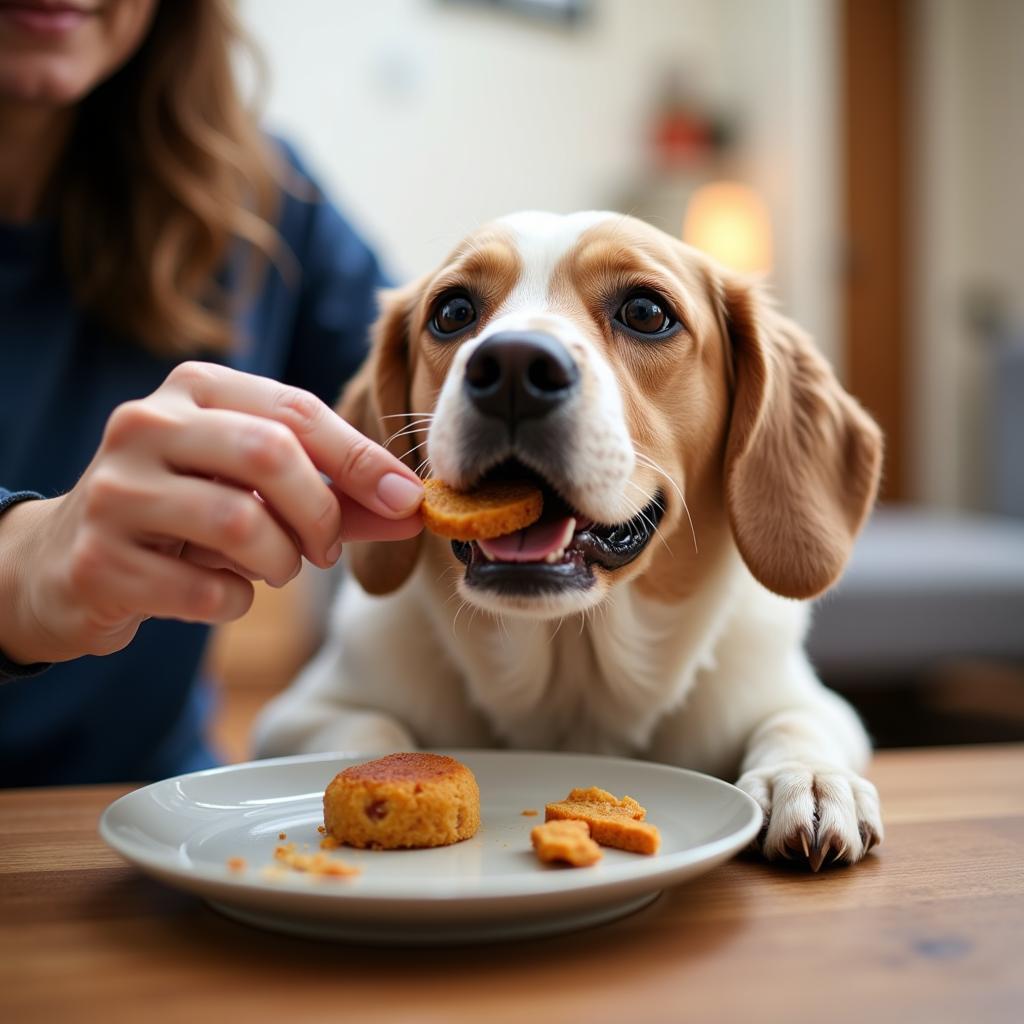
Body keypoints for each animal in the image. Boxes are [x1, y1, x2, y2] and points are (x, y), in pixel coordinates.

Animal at [251, 211, 884, 868]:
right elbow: (368, 728)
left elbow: (796, 723)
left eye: (646, 312)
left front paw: (807, 779)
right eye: (452, 312)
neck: (571, 670)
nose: (511, 367)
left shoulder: (814, 703)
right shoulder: (295, 714)